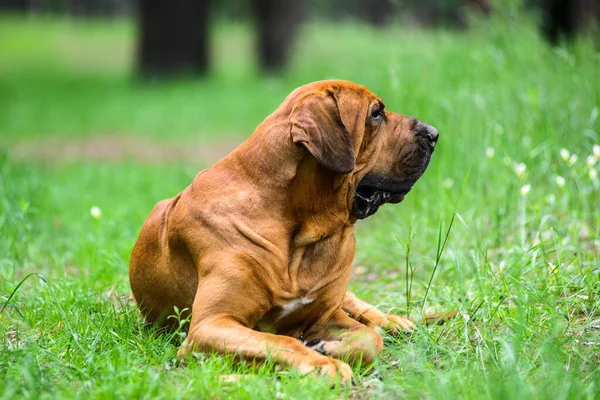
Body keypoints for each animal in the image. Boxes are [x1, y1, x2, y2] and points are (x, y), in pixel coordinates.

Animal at [130, 79, 450, 382]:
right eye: (375, 114)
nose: (434, 134)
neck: (297, 227)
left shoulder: (326, 314)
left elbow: (370, 339)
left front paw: (329, 348)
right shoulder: (211, 324)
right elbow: (280, 341)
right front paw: (323, 363)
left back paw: (394, 321)